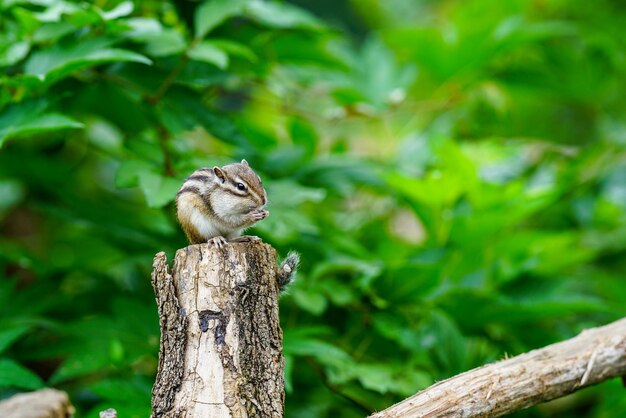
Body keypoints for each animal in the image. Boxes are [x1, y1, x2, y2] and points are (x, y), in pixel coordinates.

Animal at [176, 160, 300, 290]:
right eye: (240, 186)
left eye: (259, 180)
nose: (263, 201)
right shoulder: (219, 211)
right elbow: (231, 221)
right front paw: (252, 216)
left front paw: (265, 213)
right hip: (199, 226)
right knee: (207, 239)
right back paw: (216, 239)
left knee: (230, 239)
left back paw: (245, 238)